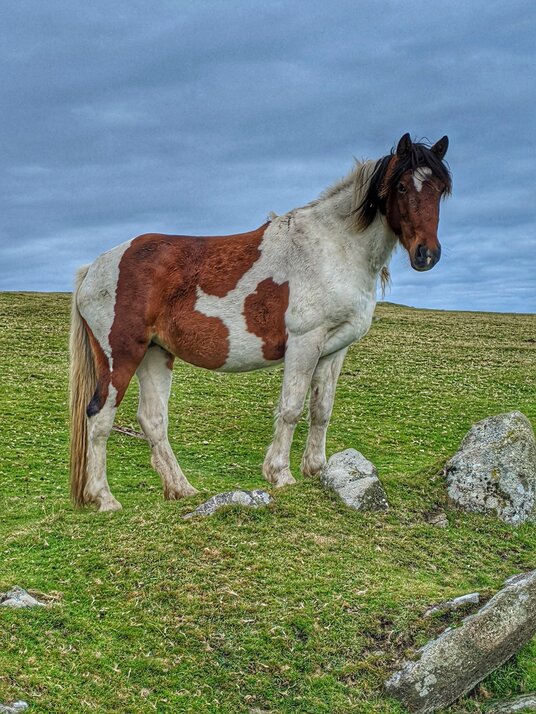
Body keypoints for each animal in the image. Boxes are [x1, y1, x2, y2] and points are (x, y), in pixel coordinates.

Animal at [69, 133, 451, 511]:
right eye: (401, 186)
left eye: (440, 189)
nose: (427, 255)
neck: (335, 248)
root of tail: (94, 268)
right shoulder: (305, 342)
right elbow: (292, 408)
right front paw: (281, 475)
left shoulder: (334, 349)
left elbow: (321, 410)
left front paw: (318, 470)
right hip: (120, 356)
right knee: (99, 417)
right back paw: (105, 498)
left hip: (155, 353)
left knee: (153, 420)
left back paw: (182, 489)